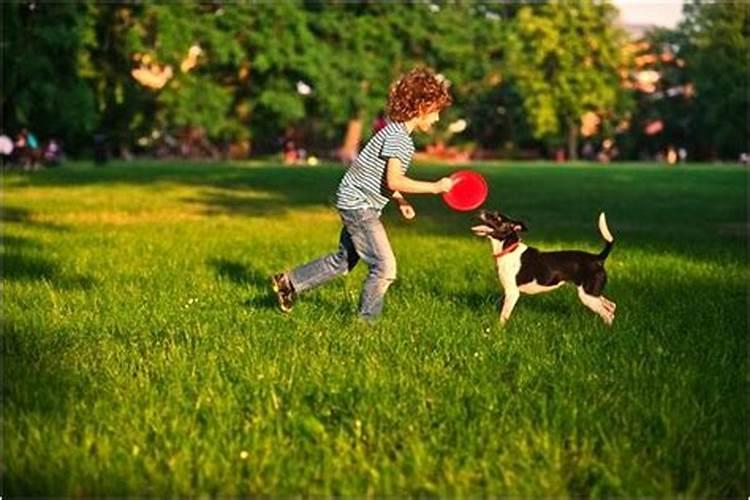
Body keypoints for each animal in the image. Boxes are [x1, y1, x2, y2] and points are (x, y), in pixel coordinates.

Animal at [472, 210, 620, 324]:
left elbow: (504, 316)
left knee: (607, 313)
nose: (480, 211)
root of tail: (597, 258)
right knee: (611, 307)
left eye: (497, 218)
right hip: (593, 293)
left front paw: (499, 330)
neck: (509, 249)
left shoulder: (512, 293)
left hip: (588, 295)